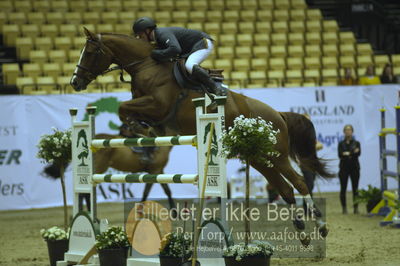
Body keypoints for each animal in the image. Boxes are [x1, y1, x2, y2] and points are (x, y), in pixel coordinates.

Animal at [70, 28, 332, 243]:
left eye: (90, 52)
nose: (75, 82)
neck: (146, 65)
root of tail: (278, 114)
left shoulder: (158, 104)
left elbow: (123, 107)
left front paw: (140, 126)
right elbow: (126, 109)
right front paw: (144, 127)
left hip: (276, 153)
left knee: (299, 182)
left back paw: (320, 225)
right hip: (258, 158)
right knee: (285, 189)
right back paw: (302, 232)